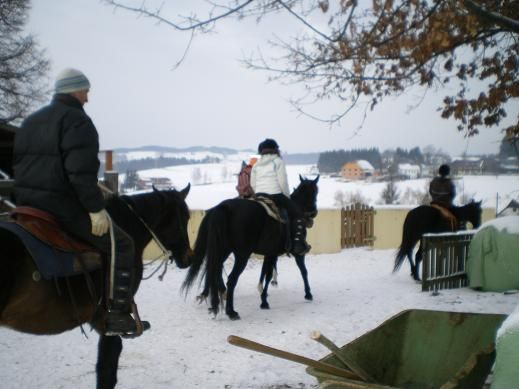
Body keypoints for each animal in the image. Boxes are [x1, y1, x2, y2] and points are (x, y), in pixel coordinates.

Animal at [185, 175, 318, 318]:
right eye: (314, 192)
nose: (314, 213)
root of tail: (223, 207)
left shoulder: (270, 253)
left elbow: (266, 272)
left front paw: (263, 296)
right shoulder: (293, 253)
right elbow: (301, 270)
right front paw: (308, 294)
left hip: (223, 250)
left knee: (215, 269)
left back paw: (214, 296)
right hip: (242, 255)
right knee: (231, 279)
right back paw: (231, 311)